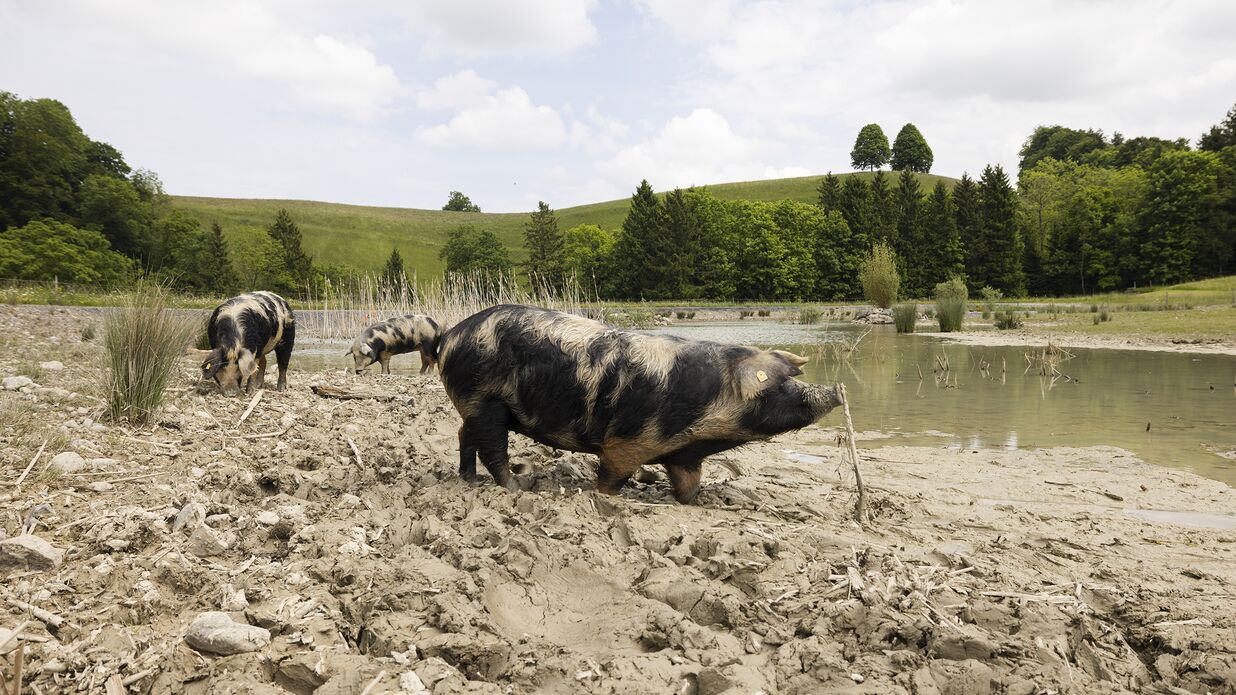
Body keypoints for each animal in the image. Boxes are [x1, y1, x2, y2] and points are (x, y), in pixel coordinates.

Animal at [436, 304, 842, 504]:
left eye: (791, 379)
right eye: (779, 385)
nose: (836, 391)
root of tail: (450, 334)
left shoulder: (684, 453)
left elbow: (688, 486)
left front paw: (699, 502)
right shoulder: (628, 442)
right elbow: (610, 476)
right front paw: (608, 498)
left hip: (473, 405)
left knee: (463, 436)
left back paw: (468, 479)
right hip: (484, 401)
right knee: (492, 449)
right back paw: (518, 487)